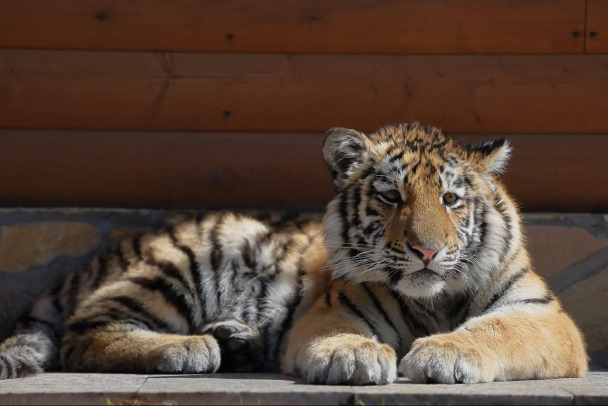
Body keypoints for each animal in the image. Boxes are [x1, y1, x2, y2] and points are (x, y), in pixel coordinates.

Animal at [1, 123, 588, 384]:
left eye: (450, 199)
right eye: (391, 196)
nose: (426, 249)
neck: (433, 301)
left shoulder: (543, 317)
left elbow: (495, 329)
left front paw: (441, 353)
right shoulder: (333, 310)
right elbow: (342, 336)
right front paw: (356, 357)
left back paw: (236, 342)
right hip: (186, 261)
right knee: (83, 333)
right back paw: (192, 348)